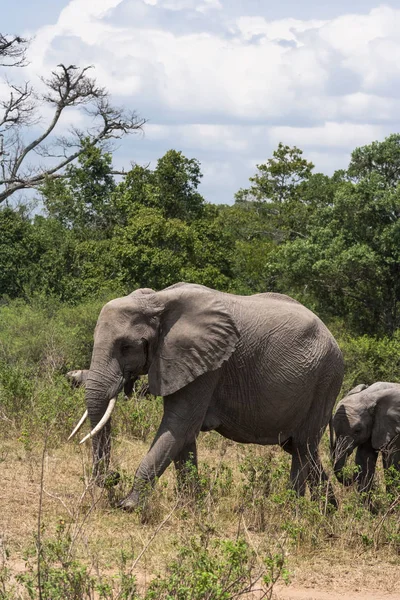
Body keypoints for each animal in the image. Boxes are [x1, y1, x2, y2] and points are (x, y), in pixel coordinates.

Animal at [69, 284, 344, 508]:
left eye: (126, 346)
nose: (113, 477)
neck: (157, 300)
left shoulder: (208, 366)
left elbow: (179, 426)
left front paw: (129, 506)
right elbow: (183, 435)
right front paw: (191, 507)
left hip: (326, 379)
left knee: (302, 445)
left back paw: (291, 509)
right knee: (301, 447)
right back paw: (327, 511)